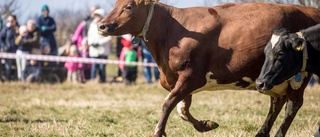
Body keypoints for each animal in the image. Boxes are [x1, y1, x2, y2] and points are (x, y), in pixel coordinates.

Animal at [97, 0, 320, 136]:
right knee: (277, 103)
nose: (101, 26)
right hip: (272, 79)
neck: (171, 31)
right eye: (117, 4)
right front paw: (206, 125)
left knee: (293, 104)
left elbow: (168, 104)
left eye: (128, 6)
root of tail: (311, 10)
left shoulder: (191, 76)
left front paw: (158, 131)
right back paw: (261, 133)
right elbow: (182, 109)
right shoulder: (179, 81)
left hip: (298, 75)